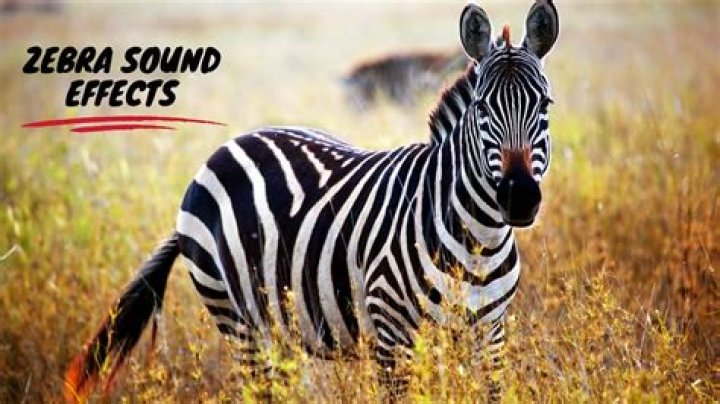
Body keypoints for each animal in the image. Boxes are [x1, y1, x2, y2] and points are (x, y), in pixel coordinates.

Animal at [65, 1, 559, 401]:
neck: (478, 239)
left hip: (279, 324)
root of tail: (225, 147)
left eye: (546, 105)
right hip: (238, 320)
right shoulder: (392, 334)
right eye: (482, 108)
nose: (518, 198)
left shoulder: (489, 335)